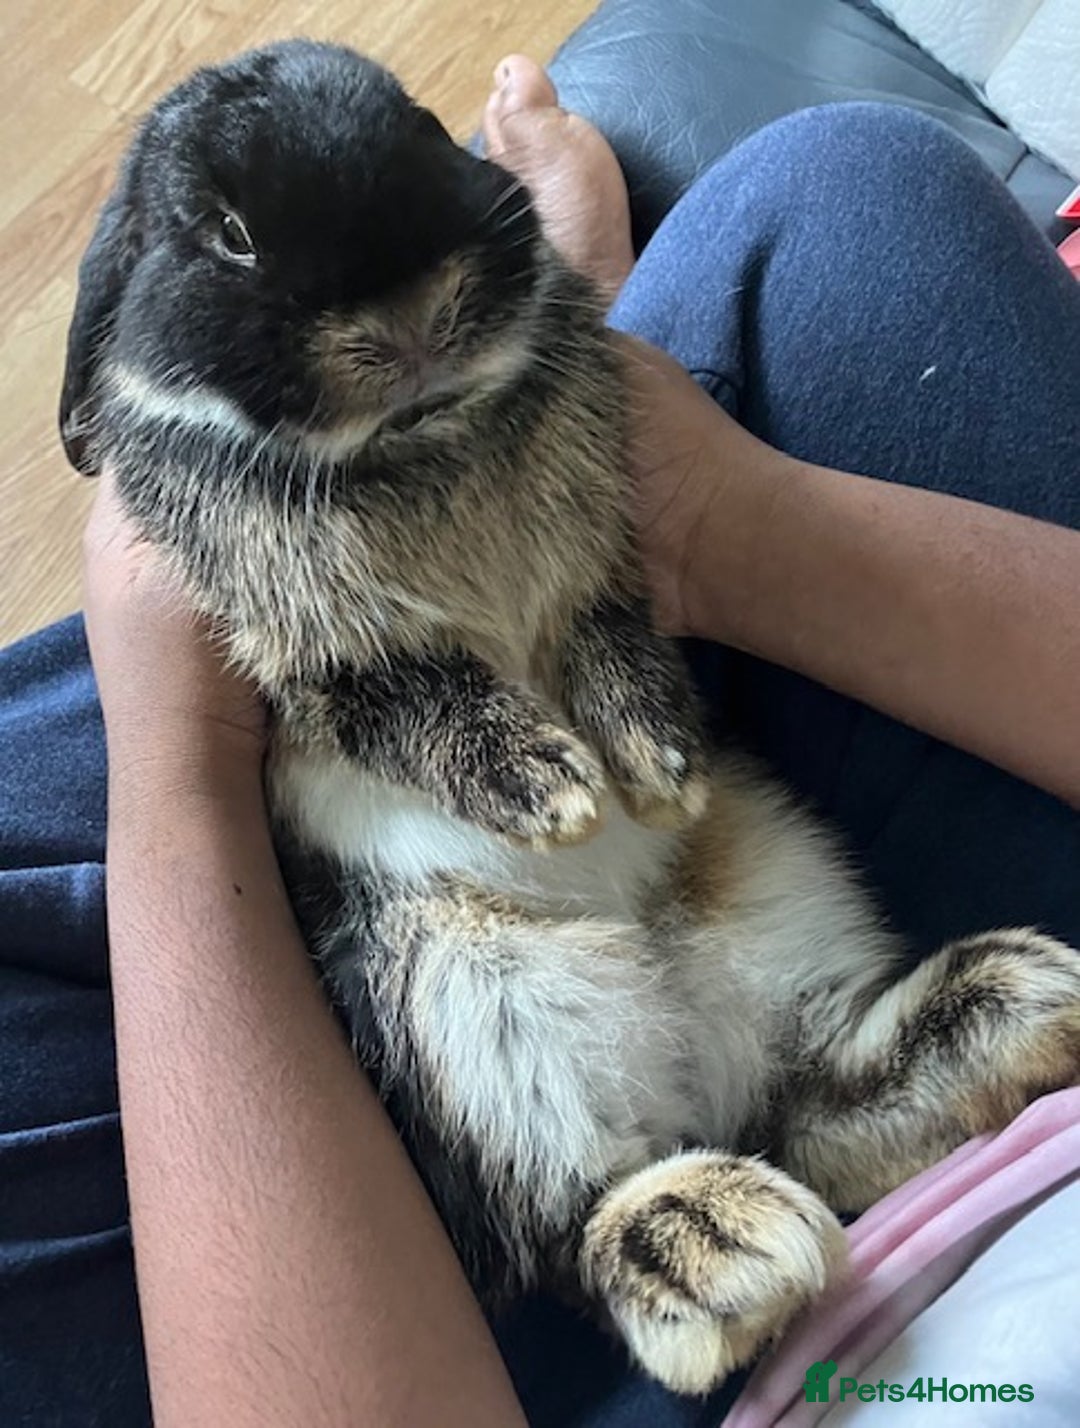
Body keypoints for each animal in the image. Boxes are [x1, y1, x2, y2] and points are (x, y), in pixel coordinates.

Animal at [61, 39, 1080, 1396]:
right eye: (223, 232)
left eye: (419, 127)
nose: (413, 322)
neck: (421, 442)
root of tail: (690, 1054)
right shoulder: (327, 668)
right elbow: (422, 703)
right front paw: (556, 794)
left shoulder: (607, 564)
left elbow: (607, 637)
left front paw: (654, 769)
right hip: (465, 1012)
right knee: (579, 1217)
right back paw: (706, 1240)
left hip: (772, 891)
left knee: (811, 1103)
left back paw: (1010, 1003)